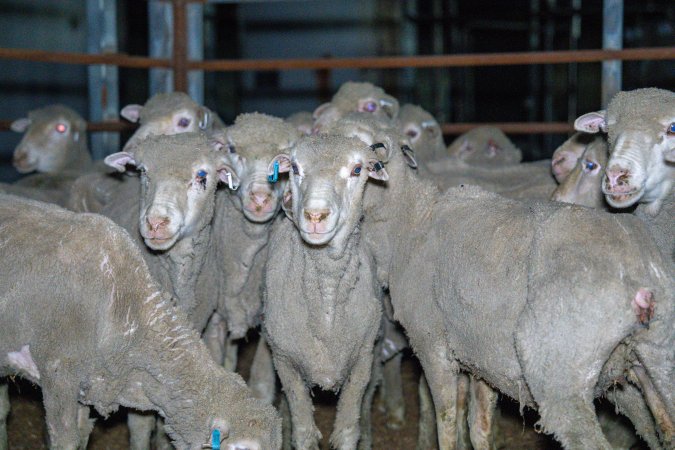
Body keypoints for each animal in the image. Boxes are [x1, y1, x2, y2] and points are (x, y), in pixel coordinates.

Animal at [264, 135, 390, 450]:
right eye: (295, 168)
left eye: (357, 169)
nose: (315, 215)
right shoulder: (285, 362)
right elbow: (303, 433)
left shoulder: (361, 361)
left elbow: (347, 431)